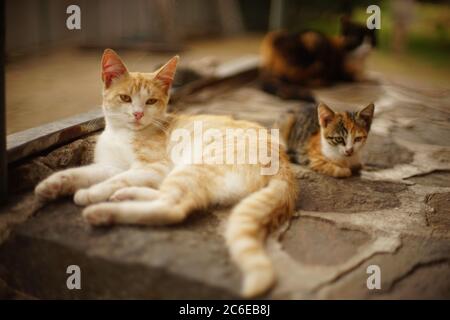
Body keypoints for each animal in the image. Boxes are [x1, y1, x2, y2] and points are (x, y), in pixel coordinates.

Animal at [33, 49, 298, 298]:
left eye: (151, 101)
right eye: (125, 98)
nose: (138, 114)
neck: (122, 134)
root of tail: (284, 163)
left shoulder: (154, 167)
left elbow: (117, 179)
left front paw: (92, 192)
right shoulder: (109, 165)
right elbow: (83, 172)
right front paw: (53, 184)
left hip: (191, 167)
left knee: (173, 207)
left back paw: (103, 211)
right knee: (164, 197)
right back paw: (126, 195)